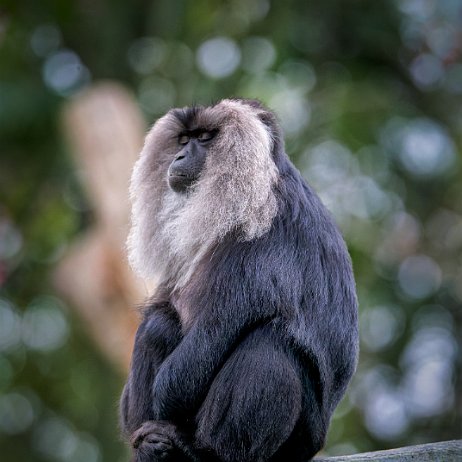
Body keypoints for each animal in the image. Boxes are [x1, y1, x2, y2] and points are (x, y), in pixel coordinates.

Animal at [121, 98, 360, 462]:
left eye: (205, 138)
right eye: (183, 140)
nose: (179, 157)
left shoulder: (261, 237)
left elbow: (191, 365)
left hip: (299, 441)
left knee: (269, 344)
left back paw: (202, 452)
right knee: (158, 325)